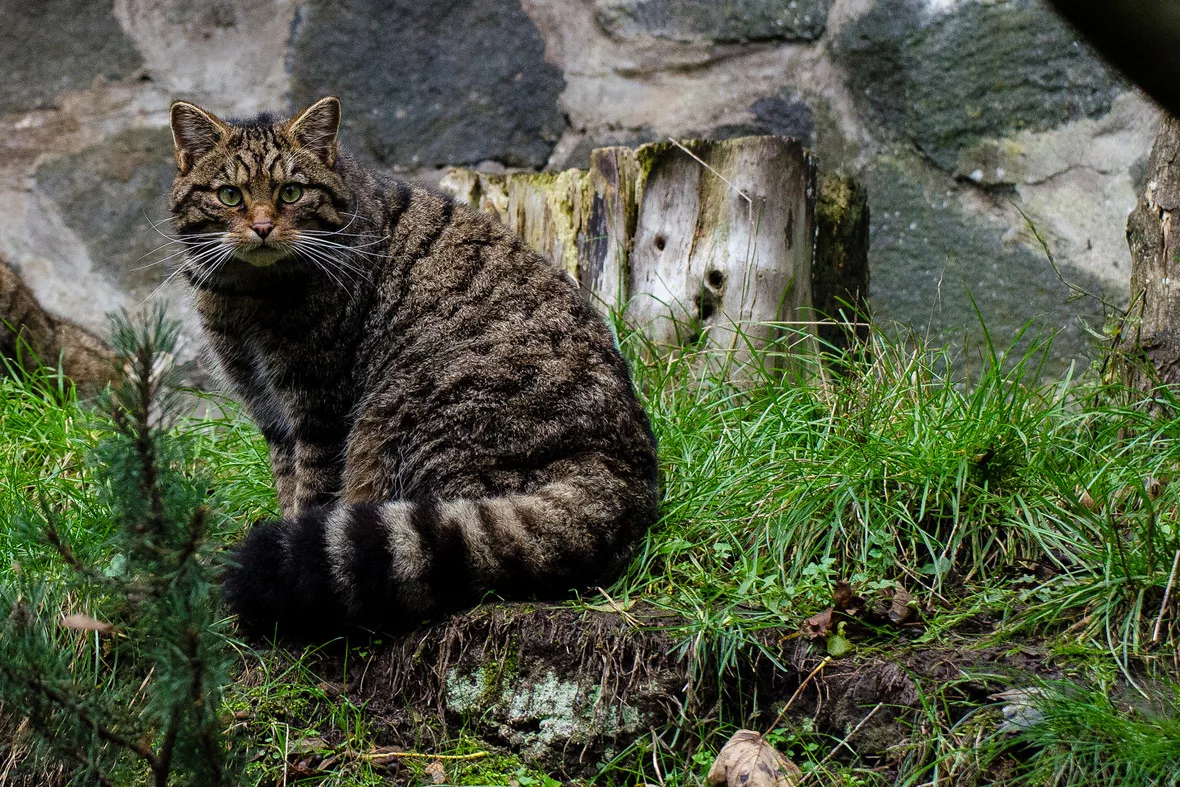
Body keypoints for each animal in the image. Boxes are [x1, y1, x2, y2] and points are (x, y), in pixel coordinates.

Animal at [167, 100, 665, 641]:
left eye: (290, 192)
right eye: (230, 196)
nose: (261, 227)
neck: (247, 295)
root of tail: (627, 477)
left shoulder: (319, 407)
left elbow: (311, 491)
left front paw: (289, 549)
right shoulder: (271, 411)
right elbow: (286, 482)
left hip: (402, 425)